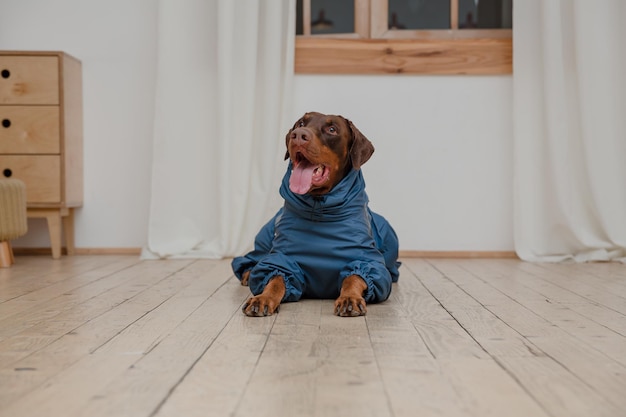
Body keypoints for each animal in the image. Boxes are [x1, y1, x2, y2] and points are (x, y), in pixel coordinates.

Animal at [230, 110, 400, 316]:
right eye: (301, 123)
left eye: (332, 129)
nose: (298, 136)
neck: (319, 209)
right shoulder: (281, 259)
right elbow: (276, 277)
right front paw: (263, 298)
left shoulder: (369, 262)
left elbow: (356, 276)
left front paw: (349, 298)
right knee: (253, 258)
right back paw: (248, 273)